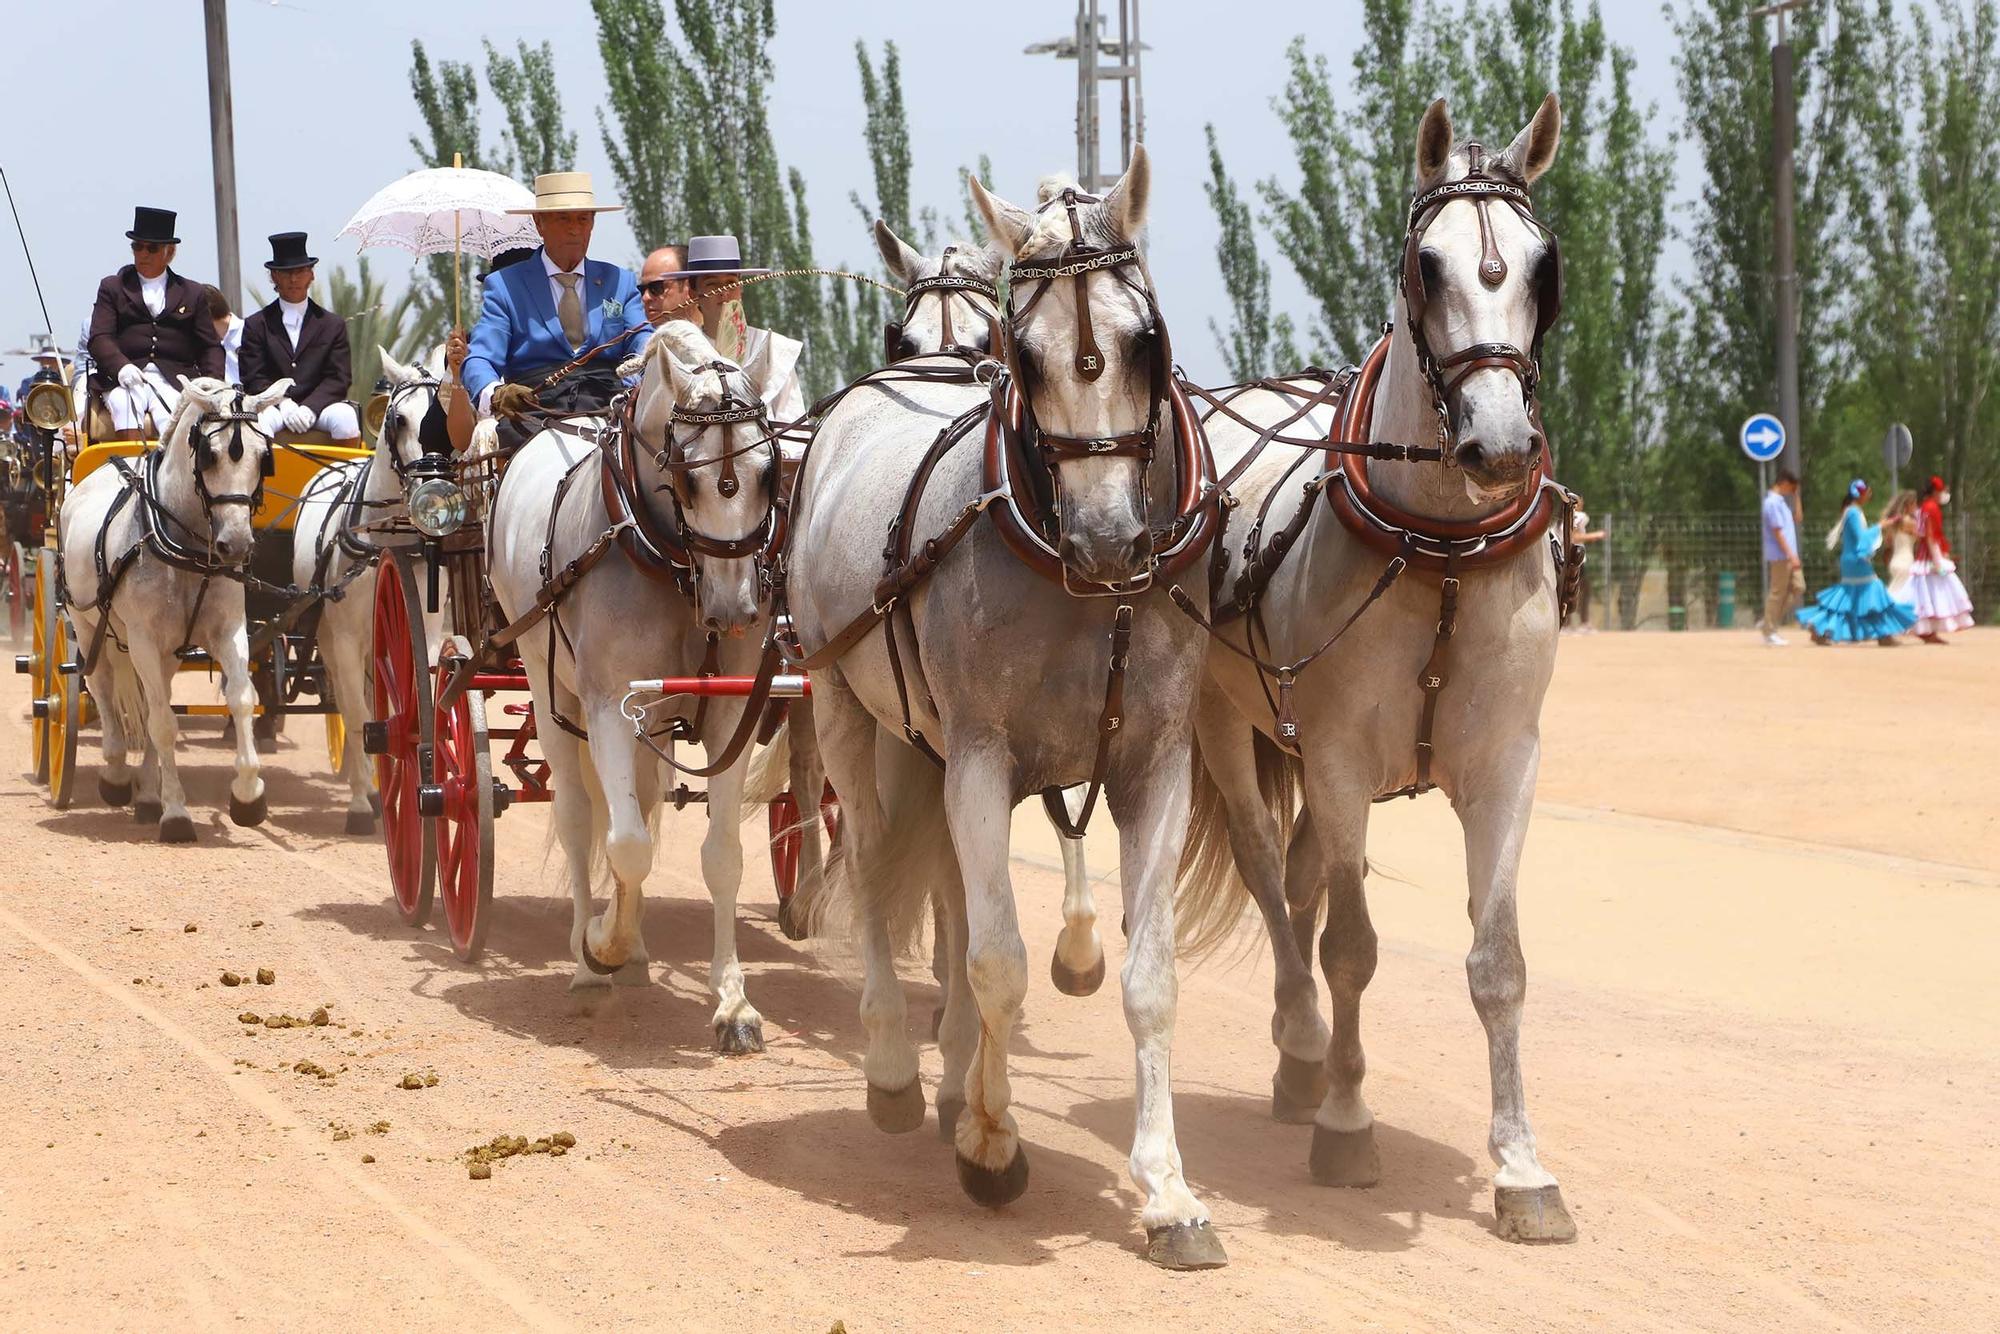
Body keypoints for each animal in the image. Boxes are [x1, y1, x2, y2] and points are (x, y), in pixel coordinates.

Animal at [62, 376, 288, 840]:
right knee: (103, 687)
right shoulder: (144, 640)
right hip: (89, 624)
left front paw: (248, 795)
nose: (236, 545)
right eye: (210, 454)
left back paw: (149, 794)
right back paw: (116, 776)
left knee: (155, 699)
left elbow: (240, 699)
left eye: (263, 456)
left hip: (166, 651)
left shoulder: (228, 630)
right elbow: (164, 724)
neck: (187, 547)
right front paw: (178, 814)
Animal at [292, 344, 444, 828]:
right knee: (348, 701)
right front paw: (362, 804)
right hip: (329, 639)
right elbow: (360, 718)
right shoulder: (343, 640)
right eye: (398, 419)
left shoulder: (421, 633)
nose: (428, 482)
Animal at [490, 324, 780, 1056]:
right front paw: (602, 946)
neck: (664, 555)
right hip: (549, 688)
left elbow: (721, 856)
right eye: (687, 475)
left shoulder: (731, 710)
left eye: (769, 470)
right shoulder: (608, 708)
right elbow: (625, 846)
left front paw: (733, 1003)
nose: (735, 609)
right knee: (578, 817)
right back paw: (587, 957)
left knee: (641, 805)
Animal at [784, 149, 1224, 1272]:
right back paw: (900, 1072)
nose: (1109, 541)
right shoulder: (981, 757)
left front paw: (1168, 1192)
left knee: (944, 889)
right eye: (1023, 357)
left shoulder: (1154, 766)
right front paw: (991, 1142)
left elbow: (1148, 979)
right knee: (877, 872)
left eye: (1145, 341)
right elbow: (994, 960)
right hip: (844, 710)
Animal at [1176, 99, 1584, 1248]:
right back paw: (1304, 1050)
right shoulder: (1342, 760)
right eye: (1425, 264)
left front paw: (1522, 1169)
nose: (1500, 443)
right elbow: (1351, 948)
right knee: (1273, 882)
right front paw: (1347, 1126)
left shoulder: (1506, 765)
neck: (1439, 550)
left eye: (1542, 266)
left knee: (1304, 878)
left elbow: (1499, 961)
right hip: (1227, 727)